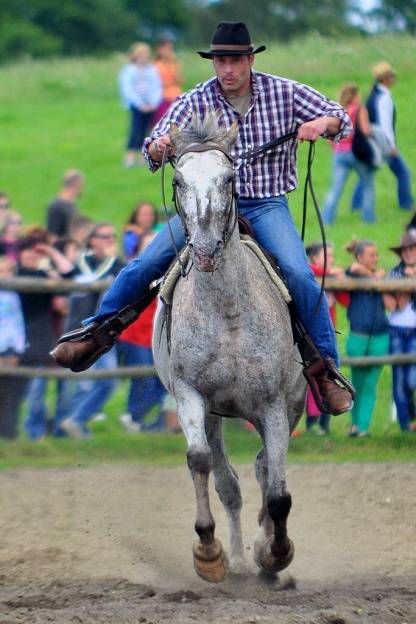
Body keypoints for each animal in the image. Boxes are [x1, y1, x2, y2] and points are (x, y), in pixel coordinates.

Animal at [153, 117, 306, 584]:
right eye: (179, 180)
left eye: (229, 178)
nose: (204, 249)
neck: (229, 314)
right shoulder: (191, 395)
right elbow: (202, 462)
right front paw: (209, 552)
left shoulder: (274, 404)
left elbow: (278, 493)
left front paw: (276, 554)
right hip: (217, 415)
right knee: (231, 483)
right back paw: (238, 558)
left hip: (289, 405)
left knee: (264, 470)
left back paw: (264, 555)